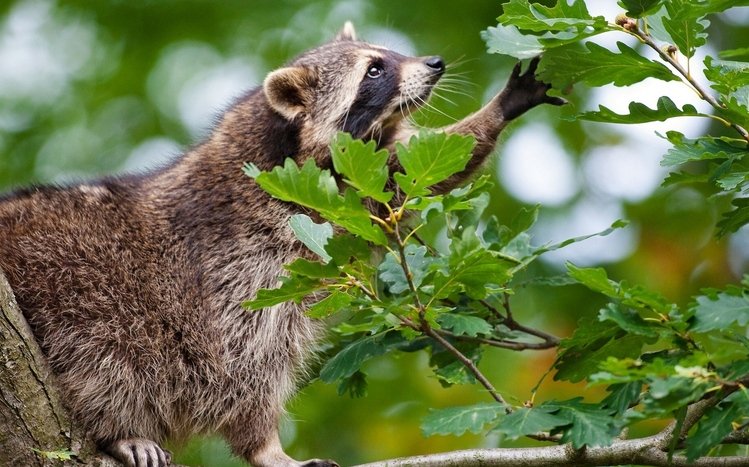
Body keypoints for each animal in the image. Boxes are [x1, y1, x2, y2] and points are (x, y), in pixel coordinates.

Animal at [0, 22, 562, 467]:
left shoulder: (356, 189)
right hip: (73, 281)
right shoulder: (240, 261)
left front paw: (500, 107)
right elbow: (243, 364)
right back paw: (119, 430)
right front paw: (265, 447)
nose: (434, 63)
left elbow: (424, 167)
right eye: (374, 70)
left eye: (387, 53)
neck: (283, 144)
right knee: (105, 355)